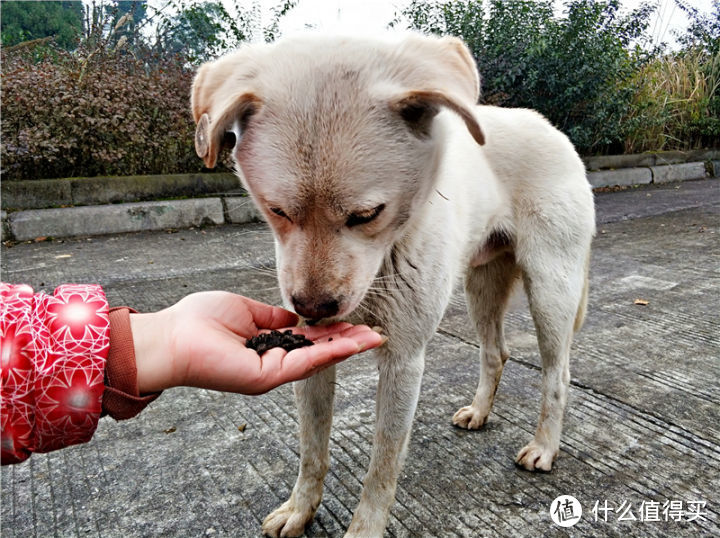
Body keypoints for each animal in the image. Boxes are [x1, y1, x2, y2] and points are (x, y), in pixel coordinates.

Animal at [191, 34, 596, 536]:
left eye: (367, 215)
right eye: (277, 211)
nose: (313, 307)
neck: (385, 258)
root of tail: (550, 128)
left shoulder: (403, 360)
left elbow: (381, 466)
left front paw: (364, 527)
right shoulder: (312, 355)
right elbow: (311, 449)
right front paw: (300, 508)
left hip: (550, 285)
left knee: (557, 373)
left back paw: (544, 446)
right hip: (481, 285)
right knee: (495, 352)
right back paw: (480, 412)